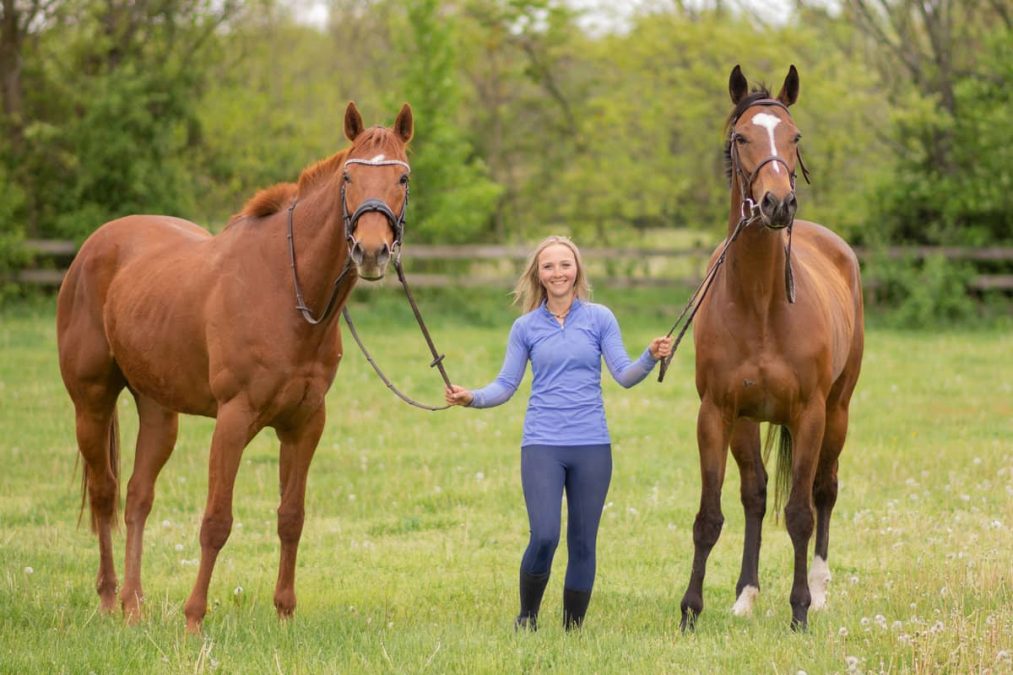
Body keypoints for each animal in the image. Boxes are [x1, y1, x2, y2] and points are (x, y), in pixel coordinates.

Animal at [56, 102, 413, 633]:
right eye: (349, 176)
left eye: (403, 178)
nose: (371, 251)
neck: (286, 288)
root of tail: (93, 247)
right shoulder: (233, 418)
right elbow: (216, 522)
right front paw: (193, 619)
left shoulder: (305, 423)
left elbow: (291, 517)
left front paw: (284, 613)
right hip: (92, 402)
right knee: (105, 494)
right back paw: (106, 600)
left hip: (158, 409)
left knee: (138, 497)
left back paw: (134, 605)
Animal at [679, 66, 864, 631]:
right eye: (742, 138)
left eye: (794, 136)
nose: (777, 204)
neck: (761, 302)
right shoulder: (717, 414)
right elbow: (711, 515)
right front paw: (691, 609)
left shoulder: (809, 414)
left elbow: (801, 513)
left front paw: (799, 608)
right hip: (747, 423)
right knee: (755, 495)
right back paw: (746, 594)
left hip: (838, 412)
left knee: (824, 490)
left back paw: (819, 591)